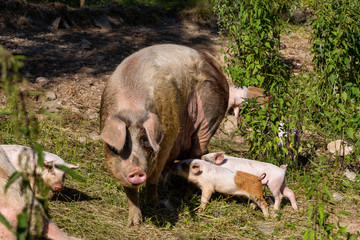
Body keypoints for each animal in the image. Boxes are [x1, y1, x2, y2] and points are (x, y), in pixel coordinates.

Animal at [99, 44, 228, 226]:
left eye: (145, 140)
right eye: (118, 146)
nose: (136, 171)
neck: (132, 106)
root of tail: (215, 65)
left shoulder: (167, 139)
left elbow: (153, 178)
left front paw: (155, 206)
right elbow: (130, 190)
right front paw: (134, 224)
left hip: (209, 119)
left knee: (197, 154)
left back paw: (185, 198)